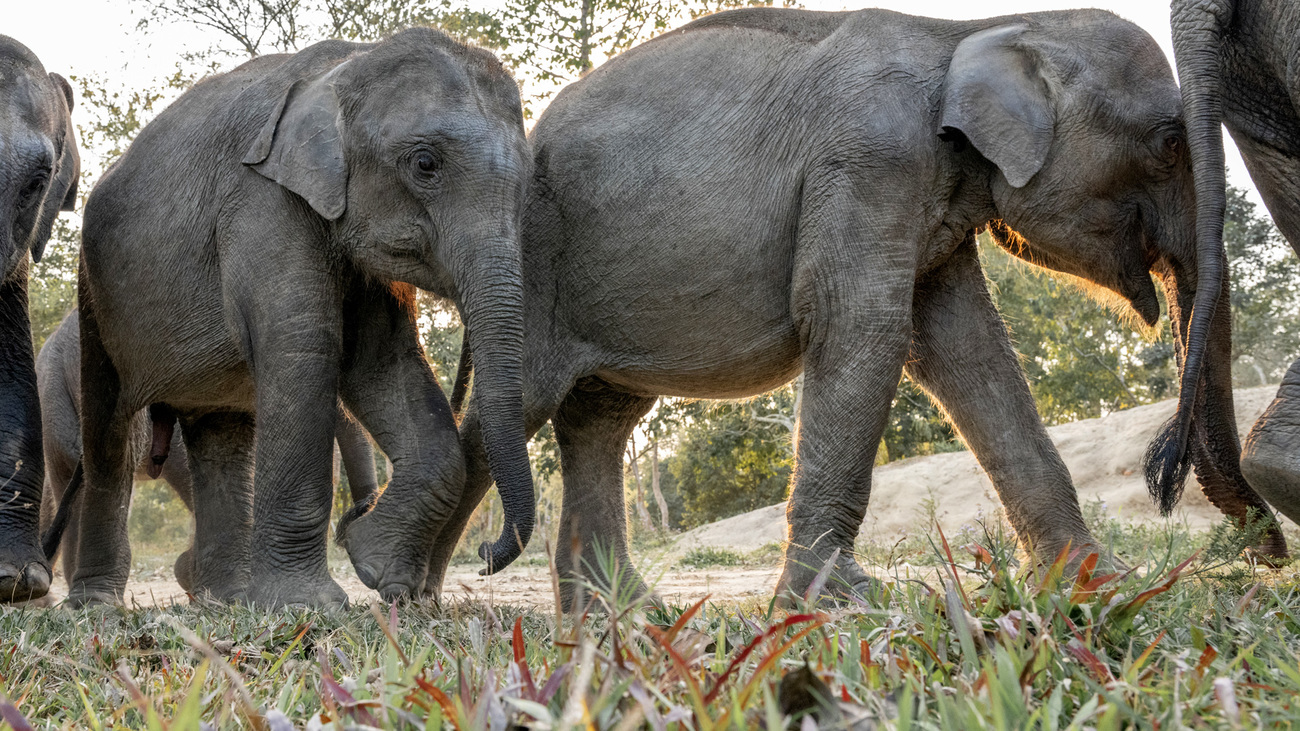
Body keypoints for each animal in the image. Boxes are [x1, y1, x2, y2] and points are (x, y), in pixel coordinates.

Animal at [73, 25, 533, 606]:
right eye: (425, 164)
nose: (487, 555)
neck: (348, 64)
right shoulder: (261, 200)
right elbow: (303, 346)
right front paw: (308, 605)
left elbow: (384, 361)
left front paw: (380, 573)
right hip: (93, 294)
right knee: (110, 436)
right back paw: (97, 607)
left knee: (222, 437)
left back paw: (226, 602)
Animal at [436, 7, 1227, 603]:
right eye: (1166, 142)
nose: (1163, 477)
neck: (973, 31)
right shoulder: (869, 162)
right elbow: (861, 328)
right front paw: (836, 605)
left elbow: (968, 352)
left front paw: (1099, 585)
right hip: (537, 269)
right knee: (512, 410)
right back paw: (418, 600)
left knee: (601, 419)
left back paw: (623, 621)